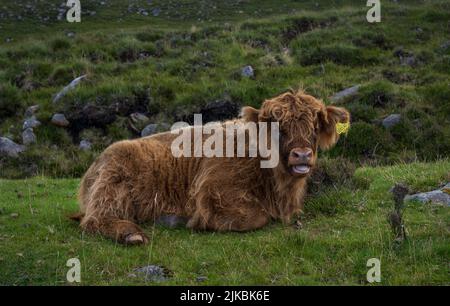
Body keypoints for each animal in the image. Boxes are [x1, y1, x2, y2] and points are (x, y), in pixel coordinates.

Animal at [71, 89, 352, 245]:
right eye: (278, 127)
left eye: (315, 126)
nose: (302, 155)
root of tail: (93, 167)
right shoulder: (212, 191)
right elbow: (255, 217)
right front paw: (197, 222)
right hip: (112, 183)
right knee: (94, 220)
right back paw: (132, 234)